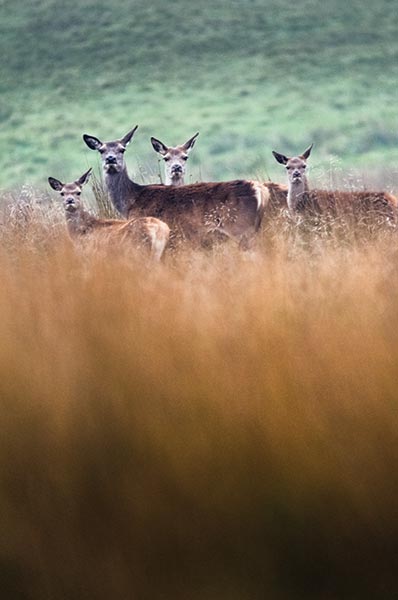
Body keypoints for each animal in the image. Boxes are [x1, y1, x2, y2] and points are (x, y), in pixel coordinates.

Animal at [83, 125, 270, 247]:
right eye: (101, 150)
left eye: (122, 149)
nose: (111, 159)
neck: (130, 201)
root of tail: (260, 190)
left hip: (240, 228)